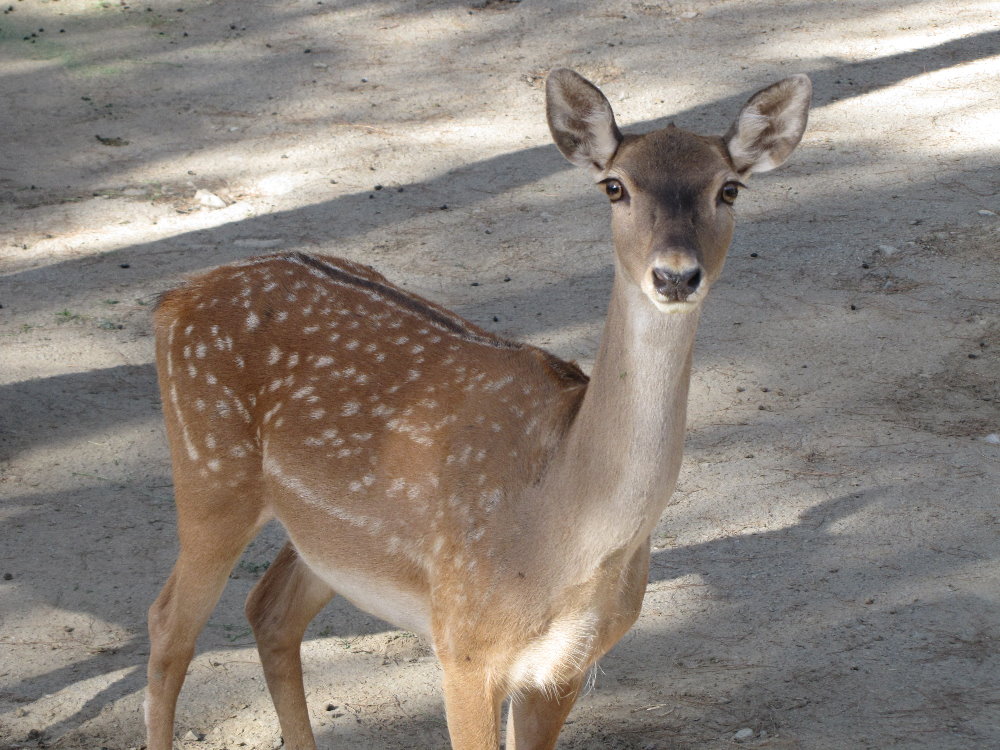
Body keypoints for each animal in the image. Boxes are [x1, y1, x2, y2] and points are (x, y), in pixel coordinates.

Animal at [145, 68, 811, 749]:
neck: (564, 530)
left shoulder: (564, 667)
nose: (676, 276)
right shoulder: (463, 645)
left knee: (270, 609)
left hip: (320, 536)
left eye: (728, 188)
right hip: (210, 473)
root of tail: (174, 300)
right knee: (168, 623)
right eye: (615, 186)